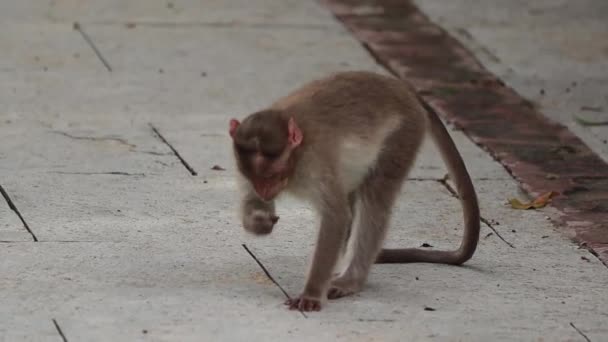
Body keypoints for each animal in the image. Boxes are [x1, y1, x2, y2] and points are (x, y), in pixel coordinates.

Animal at [229, 71, 480, 312]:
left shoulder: (316, 161)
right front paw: (258, 221)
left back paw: (351, 279)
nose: (263, 189)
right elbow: (253, 201)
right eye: (254, 177)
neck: (296, 157)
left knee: (375, 196)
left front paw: (311, 294)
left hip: (404, 133)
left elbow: (336, 217)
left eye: (271, 175)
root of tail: (401, 88)